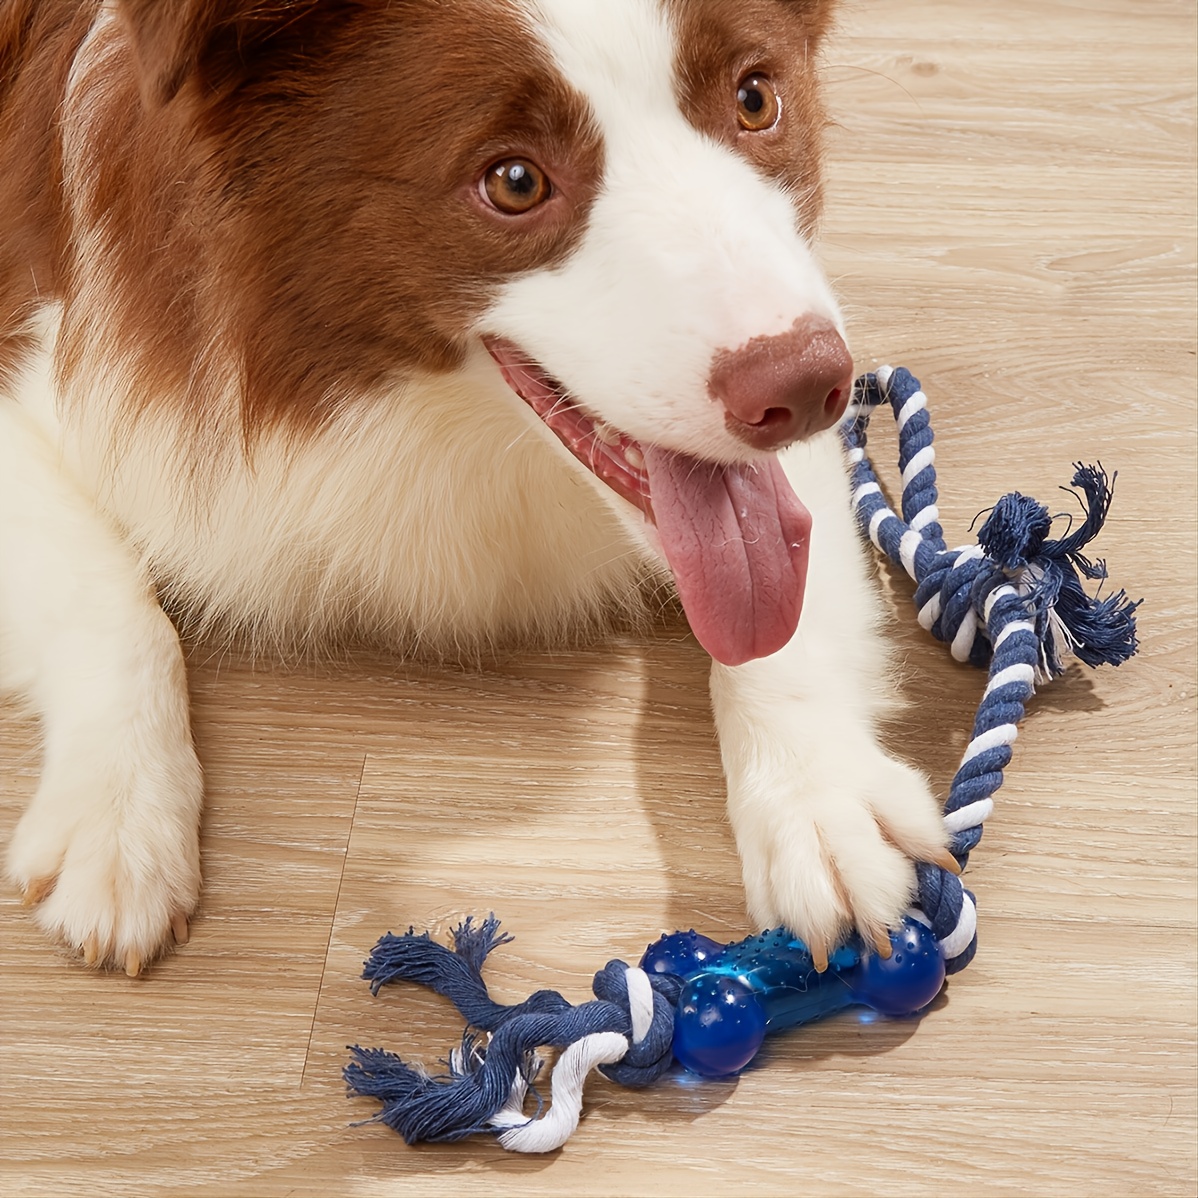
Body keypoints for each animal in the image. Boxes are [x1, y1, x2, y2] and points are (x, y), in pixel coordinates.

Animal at [0, 0, 953, 972]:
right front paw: (118, 825)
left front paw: (821, 799)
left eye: (755, 100)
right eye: (515, 182)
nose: (804, 387)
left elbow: (785, 614)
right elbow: (113, 610)